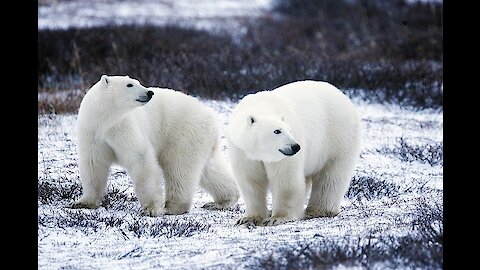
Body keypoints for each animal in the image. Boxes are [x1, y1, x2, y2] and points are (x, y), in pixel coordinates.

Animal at [71, 74, 240, 215]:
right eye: (129, 84)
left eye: (137, 82)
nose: (149, 93)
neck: (105, 120)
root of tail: (212, 118)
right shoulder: (92, 132)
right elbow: (93, 164)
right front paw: (83, 203)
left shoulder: (123, 126)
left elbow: (140, 158)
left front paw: (151, 208)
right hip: (200, 139)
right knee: (209, 169)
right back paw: (223, 200)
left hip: (183, 133)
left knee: (178, 167)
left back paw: (172, 207)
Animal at [228, 80, 360, 226]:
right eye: (277, 131)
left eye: (290, 130)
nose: (295, 147)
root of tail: (343, 96)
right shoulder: (242, 151)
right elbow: (251, 181)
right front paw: (248, 218)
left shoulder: (283, 157)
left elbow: (286, 179)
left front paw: (277, 218)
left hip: (338, 137)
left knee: (330, 177)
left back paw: (317, 210)